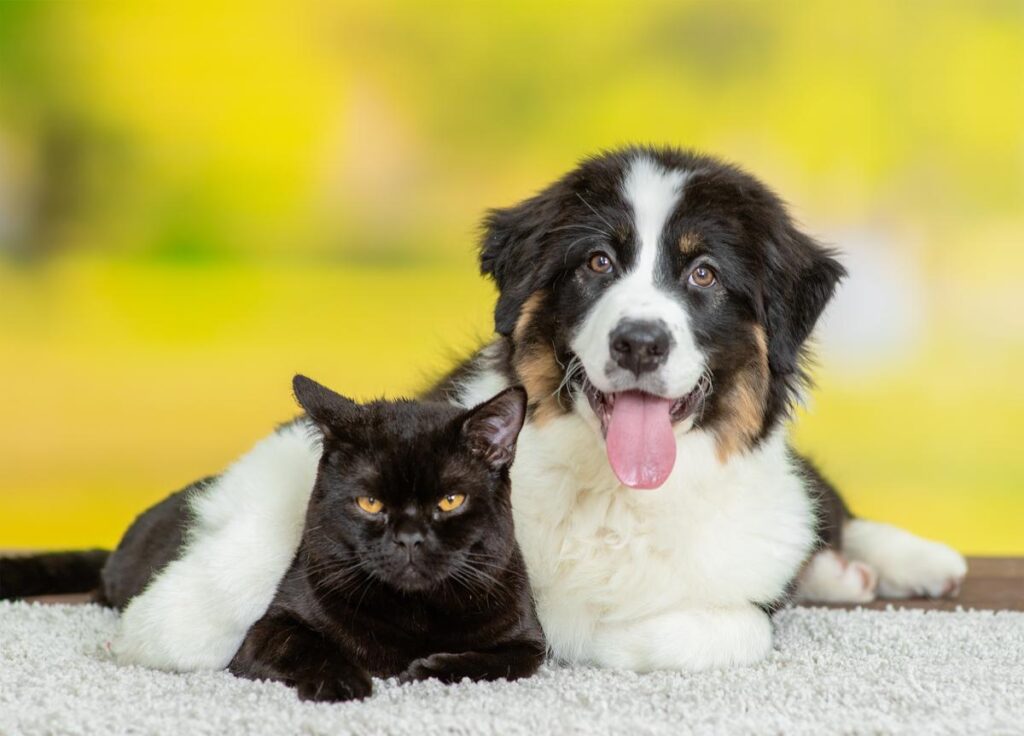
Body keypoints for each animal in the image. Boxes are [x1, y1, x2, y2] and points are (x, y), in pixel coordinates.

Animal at [224, 376, 544, 704]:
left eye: (451, 501)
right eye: (370, 503)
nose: (409, 538)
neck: (417, 610)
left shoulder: (529, 642)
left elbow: (499, 661)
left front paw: (424, 669)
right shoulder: (265, 630)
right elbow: (304, 646)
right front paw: (342, 682)